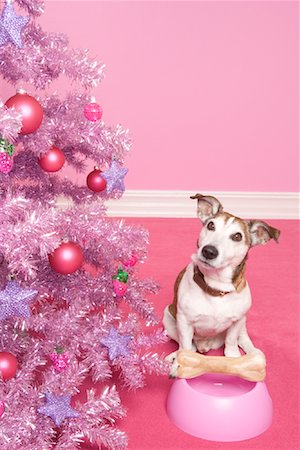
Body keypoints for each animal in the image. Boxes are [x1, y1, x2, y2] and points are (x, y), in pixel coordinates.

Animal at [163, 192, 280, 362]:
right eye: (211, 225)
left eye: (237, 236)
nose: (209, 251)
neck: (216, 285)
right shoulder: (184, 322)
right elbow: (185, 346)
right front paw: (180, 360)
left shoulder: (237, 321)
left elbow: (231, 340)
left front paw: (233, 356)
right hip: (169, 318)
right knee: (188, 346)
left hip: (243, 323)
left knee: (243, 339)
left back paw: (254, 353)